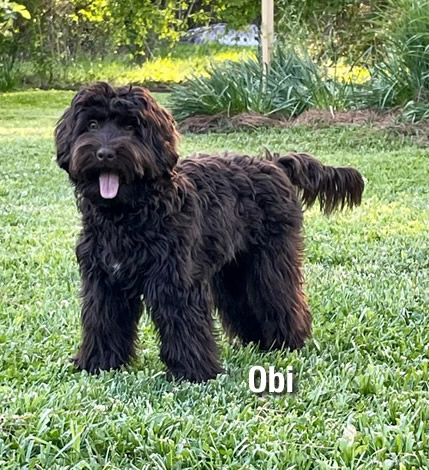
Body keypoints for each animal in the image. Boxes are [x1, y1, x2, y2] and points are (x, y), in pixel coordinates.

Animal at [52, 81, 362, 382]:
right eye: (92, 124)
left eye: (130, 126)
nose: (105, 154)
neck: (129, 214)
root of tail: (274, 163)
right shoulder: (104, 282)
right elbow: (103, 321)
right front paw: (98, 363)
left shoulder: (175, 280)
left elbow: (183, 322)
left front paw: (192, 372)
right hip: (234, 269)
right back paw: (259, 342)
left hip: (269, 262)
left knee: (280, 297)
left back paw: (287, 342)